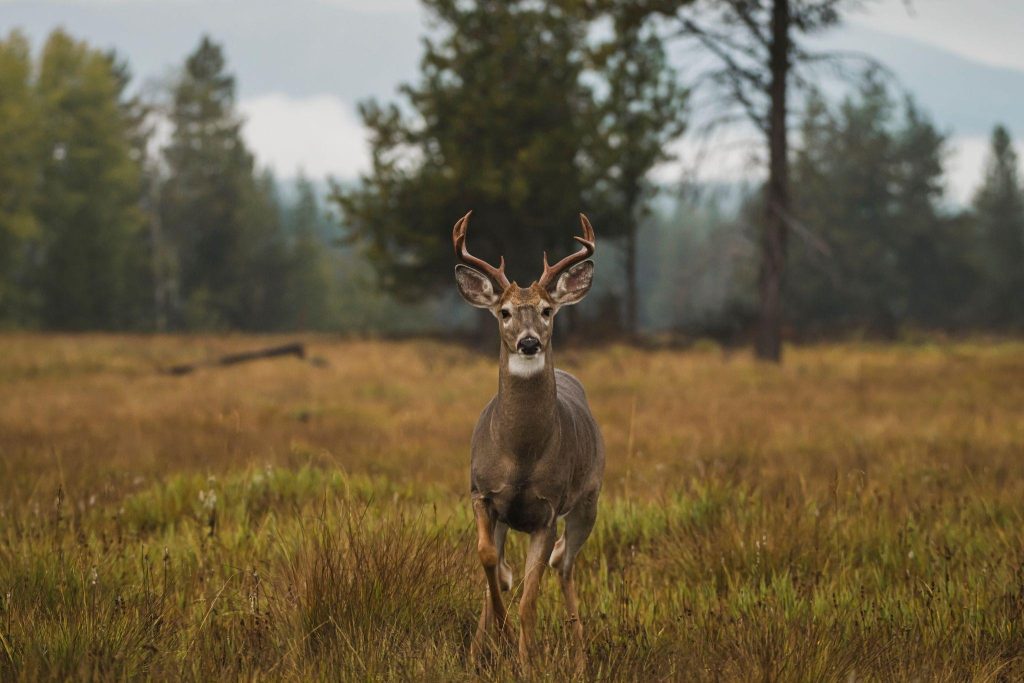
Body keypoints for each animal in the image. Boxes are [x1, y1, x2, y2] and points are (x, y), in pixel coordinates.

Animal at [453, 210, 605, 673]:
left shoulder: (547, 509)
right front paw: (494, 640)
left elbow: (529, 597)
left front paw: (526, 659)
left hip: (589, 500)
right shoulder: (482, 494)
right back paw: (478, 650)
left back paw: (580, 658)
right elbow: (491, 565)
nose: (529, 341)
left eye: (546, 310)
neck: (520, 455)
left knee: (564, 562)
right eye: (503, 312)